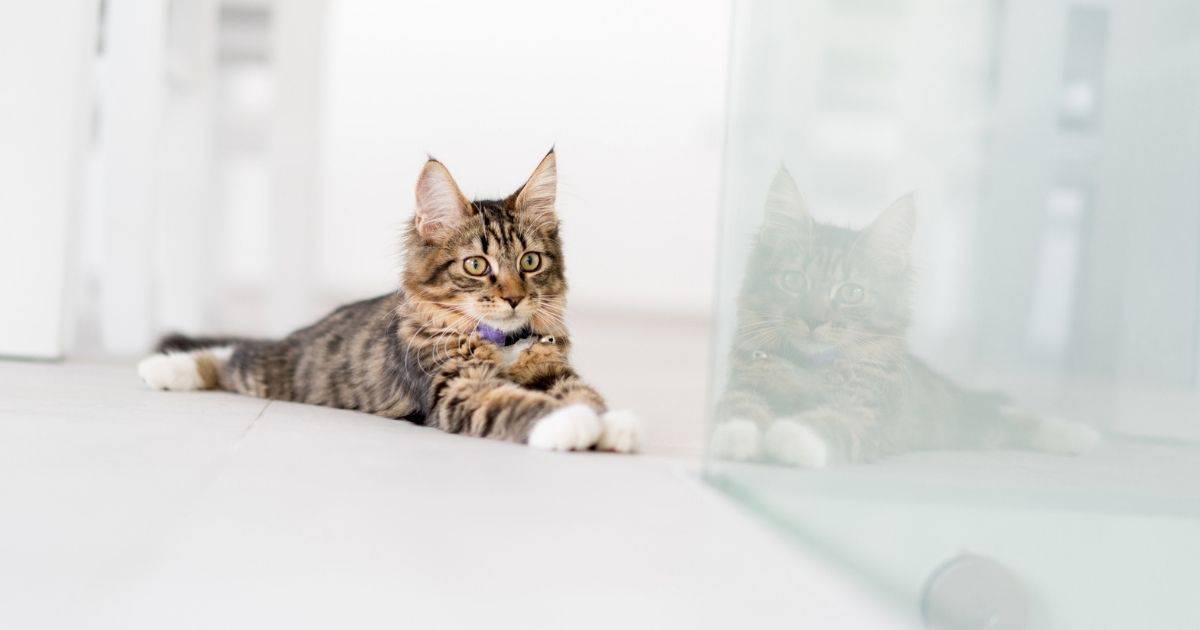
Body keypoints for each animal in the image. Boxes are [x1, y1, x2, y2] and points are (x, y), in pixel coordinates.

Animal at [137, 147, 643, 451]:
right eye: (476, 266)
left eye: (530, 262)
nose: (516, 299)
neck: (501, 341)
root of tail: (308, 330)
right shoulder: (456, 387)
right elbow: (515, 403)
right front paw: (570, 423)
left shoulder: (551, 370)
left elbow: (584, 393)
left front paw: (612, 421)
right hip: (279, 373)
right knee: (231, 356)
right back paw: (165, 368)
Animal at [710, 166, 1099, 465]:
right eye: (793, 281)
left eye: (851, 292)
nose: (813, 320)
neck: (812, 366)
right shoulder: (745, 382)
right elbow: (738, 406)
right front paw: (737, 435)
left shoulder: (867, 409)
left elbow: (832, 419)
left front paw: (792, 435)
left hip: (963, 417)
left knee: (1006, 417)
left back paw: (1078, 434)